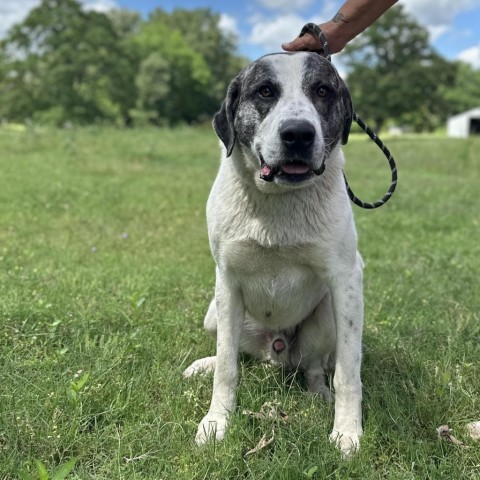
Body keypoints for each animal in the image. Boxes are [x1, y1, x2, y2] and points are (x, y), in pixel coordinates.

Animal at [184, 52, 364, 458]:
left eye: (322, 91)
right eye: (265, 91)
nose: (298, 134)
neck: (278, 202)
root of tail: (275, 352)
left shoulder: (347, 279)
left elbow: (348, 370)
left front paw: (347, 431)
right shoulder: (226, 282)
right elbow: (228, 367)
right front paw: (217, 422)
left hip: (325, 316)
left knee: (314, 367)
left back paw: (319, 393)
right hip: (213, 314)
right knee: (235, 353)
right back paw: (205, 364)